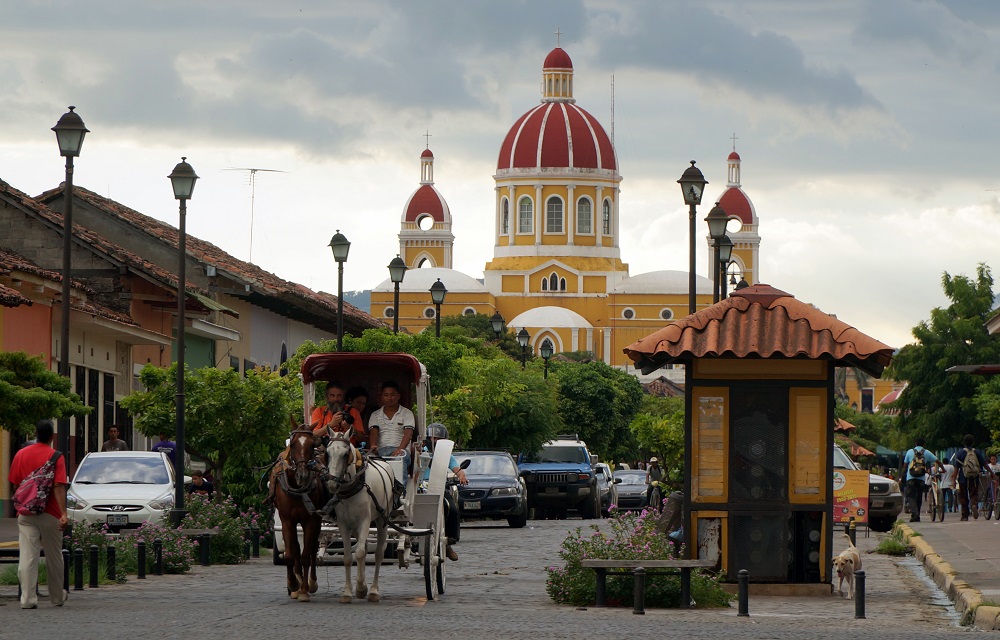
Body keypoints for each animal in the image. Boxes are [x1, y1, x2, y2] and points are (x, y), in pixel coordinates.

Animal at [272, 428, 322, 604]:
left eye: (312, 445)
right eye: (292, 445)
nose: (302, 475)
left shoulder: (310, 520)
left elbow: (306, 555)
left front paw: (305, 590)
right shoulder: (286, 521)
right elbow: (290, 554)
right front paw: (293, 585)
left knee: (313, 548)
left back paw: (311, 583)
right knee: (296, 548)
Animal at [324, 432, 394, 604]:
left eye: (345, 454)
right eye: (327, 453)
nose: (332, 485)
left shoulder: (365, 522)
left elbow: (361, 553)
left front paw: (361, 588)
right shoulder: (343, 524)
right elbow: (348, 557)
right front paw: (348, 592)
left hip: (382, 520)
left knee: (378, 554)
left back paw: (374, 591)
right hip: (355, 527)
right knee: (366, 547)